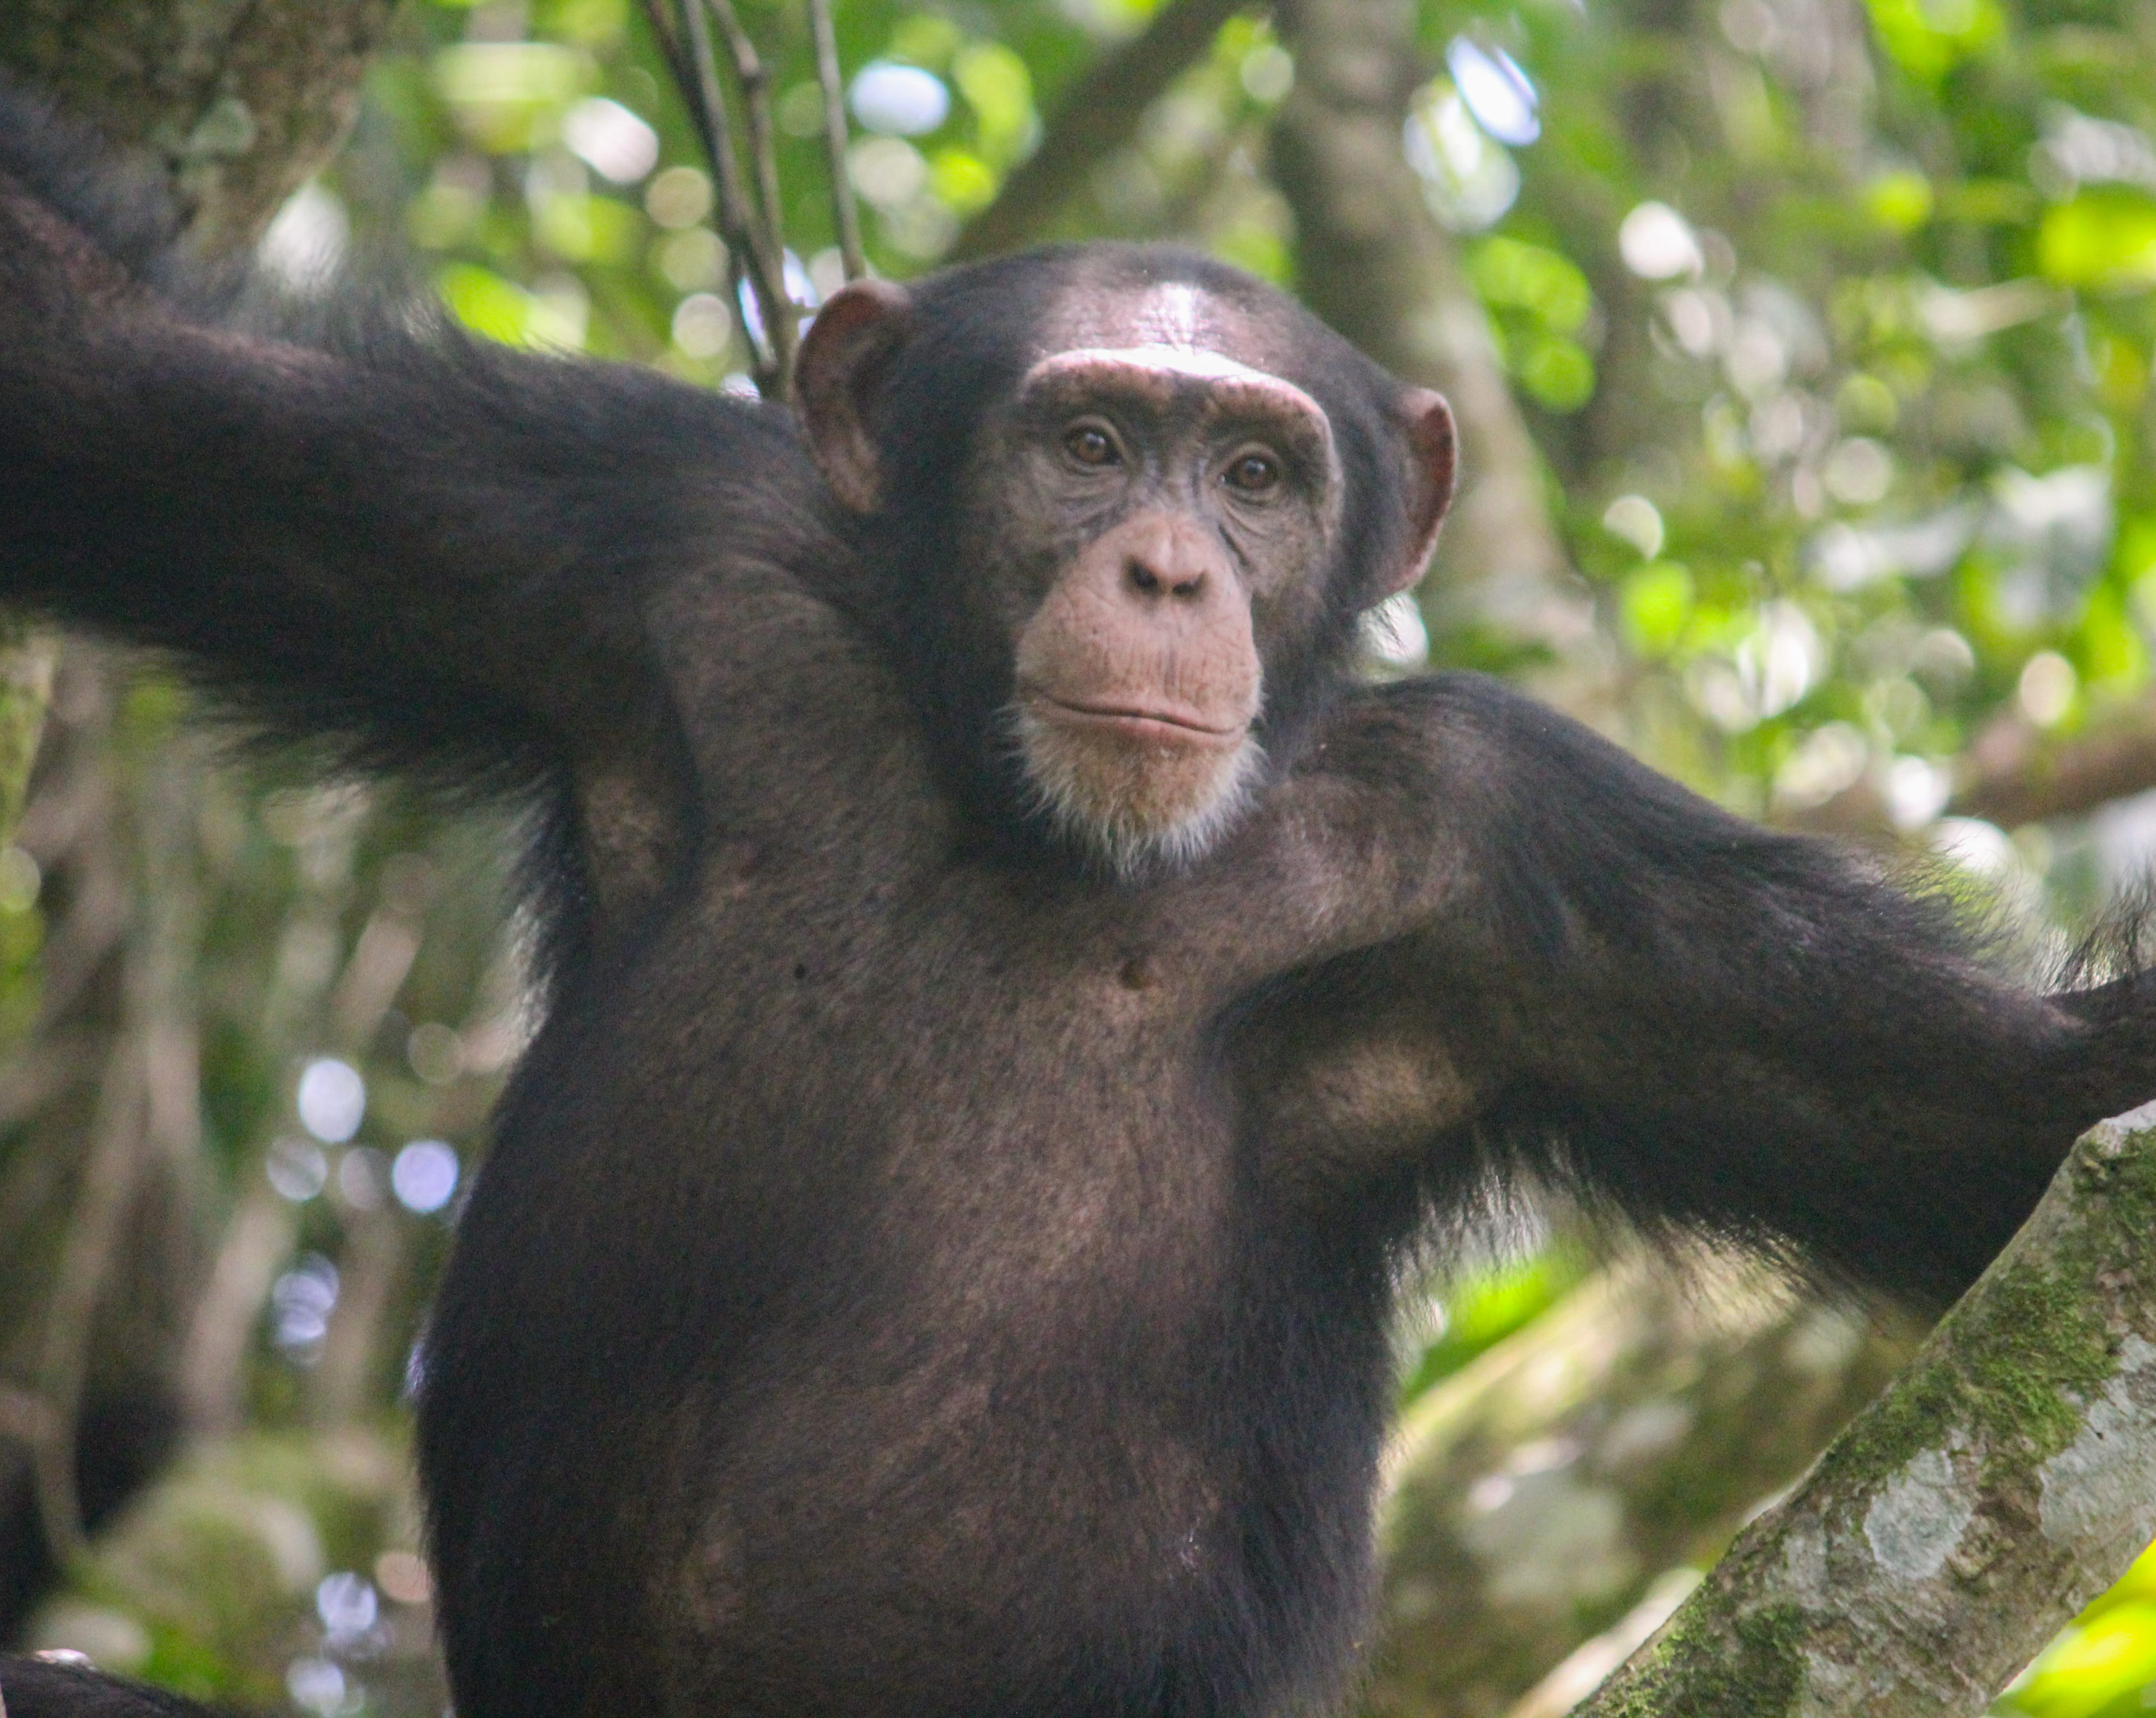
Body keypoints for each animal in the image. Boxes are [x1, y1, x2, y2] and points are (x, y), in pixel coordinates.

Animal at [1, 79, 2153, 1718]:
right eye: (1093, 442)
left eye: (1259, 479)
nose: (1168, 572)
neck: (1018, 825)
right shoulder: (604, 528)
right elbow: (110, 380)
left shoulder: (1525, 859)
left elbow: (1976, 1109)